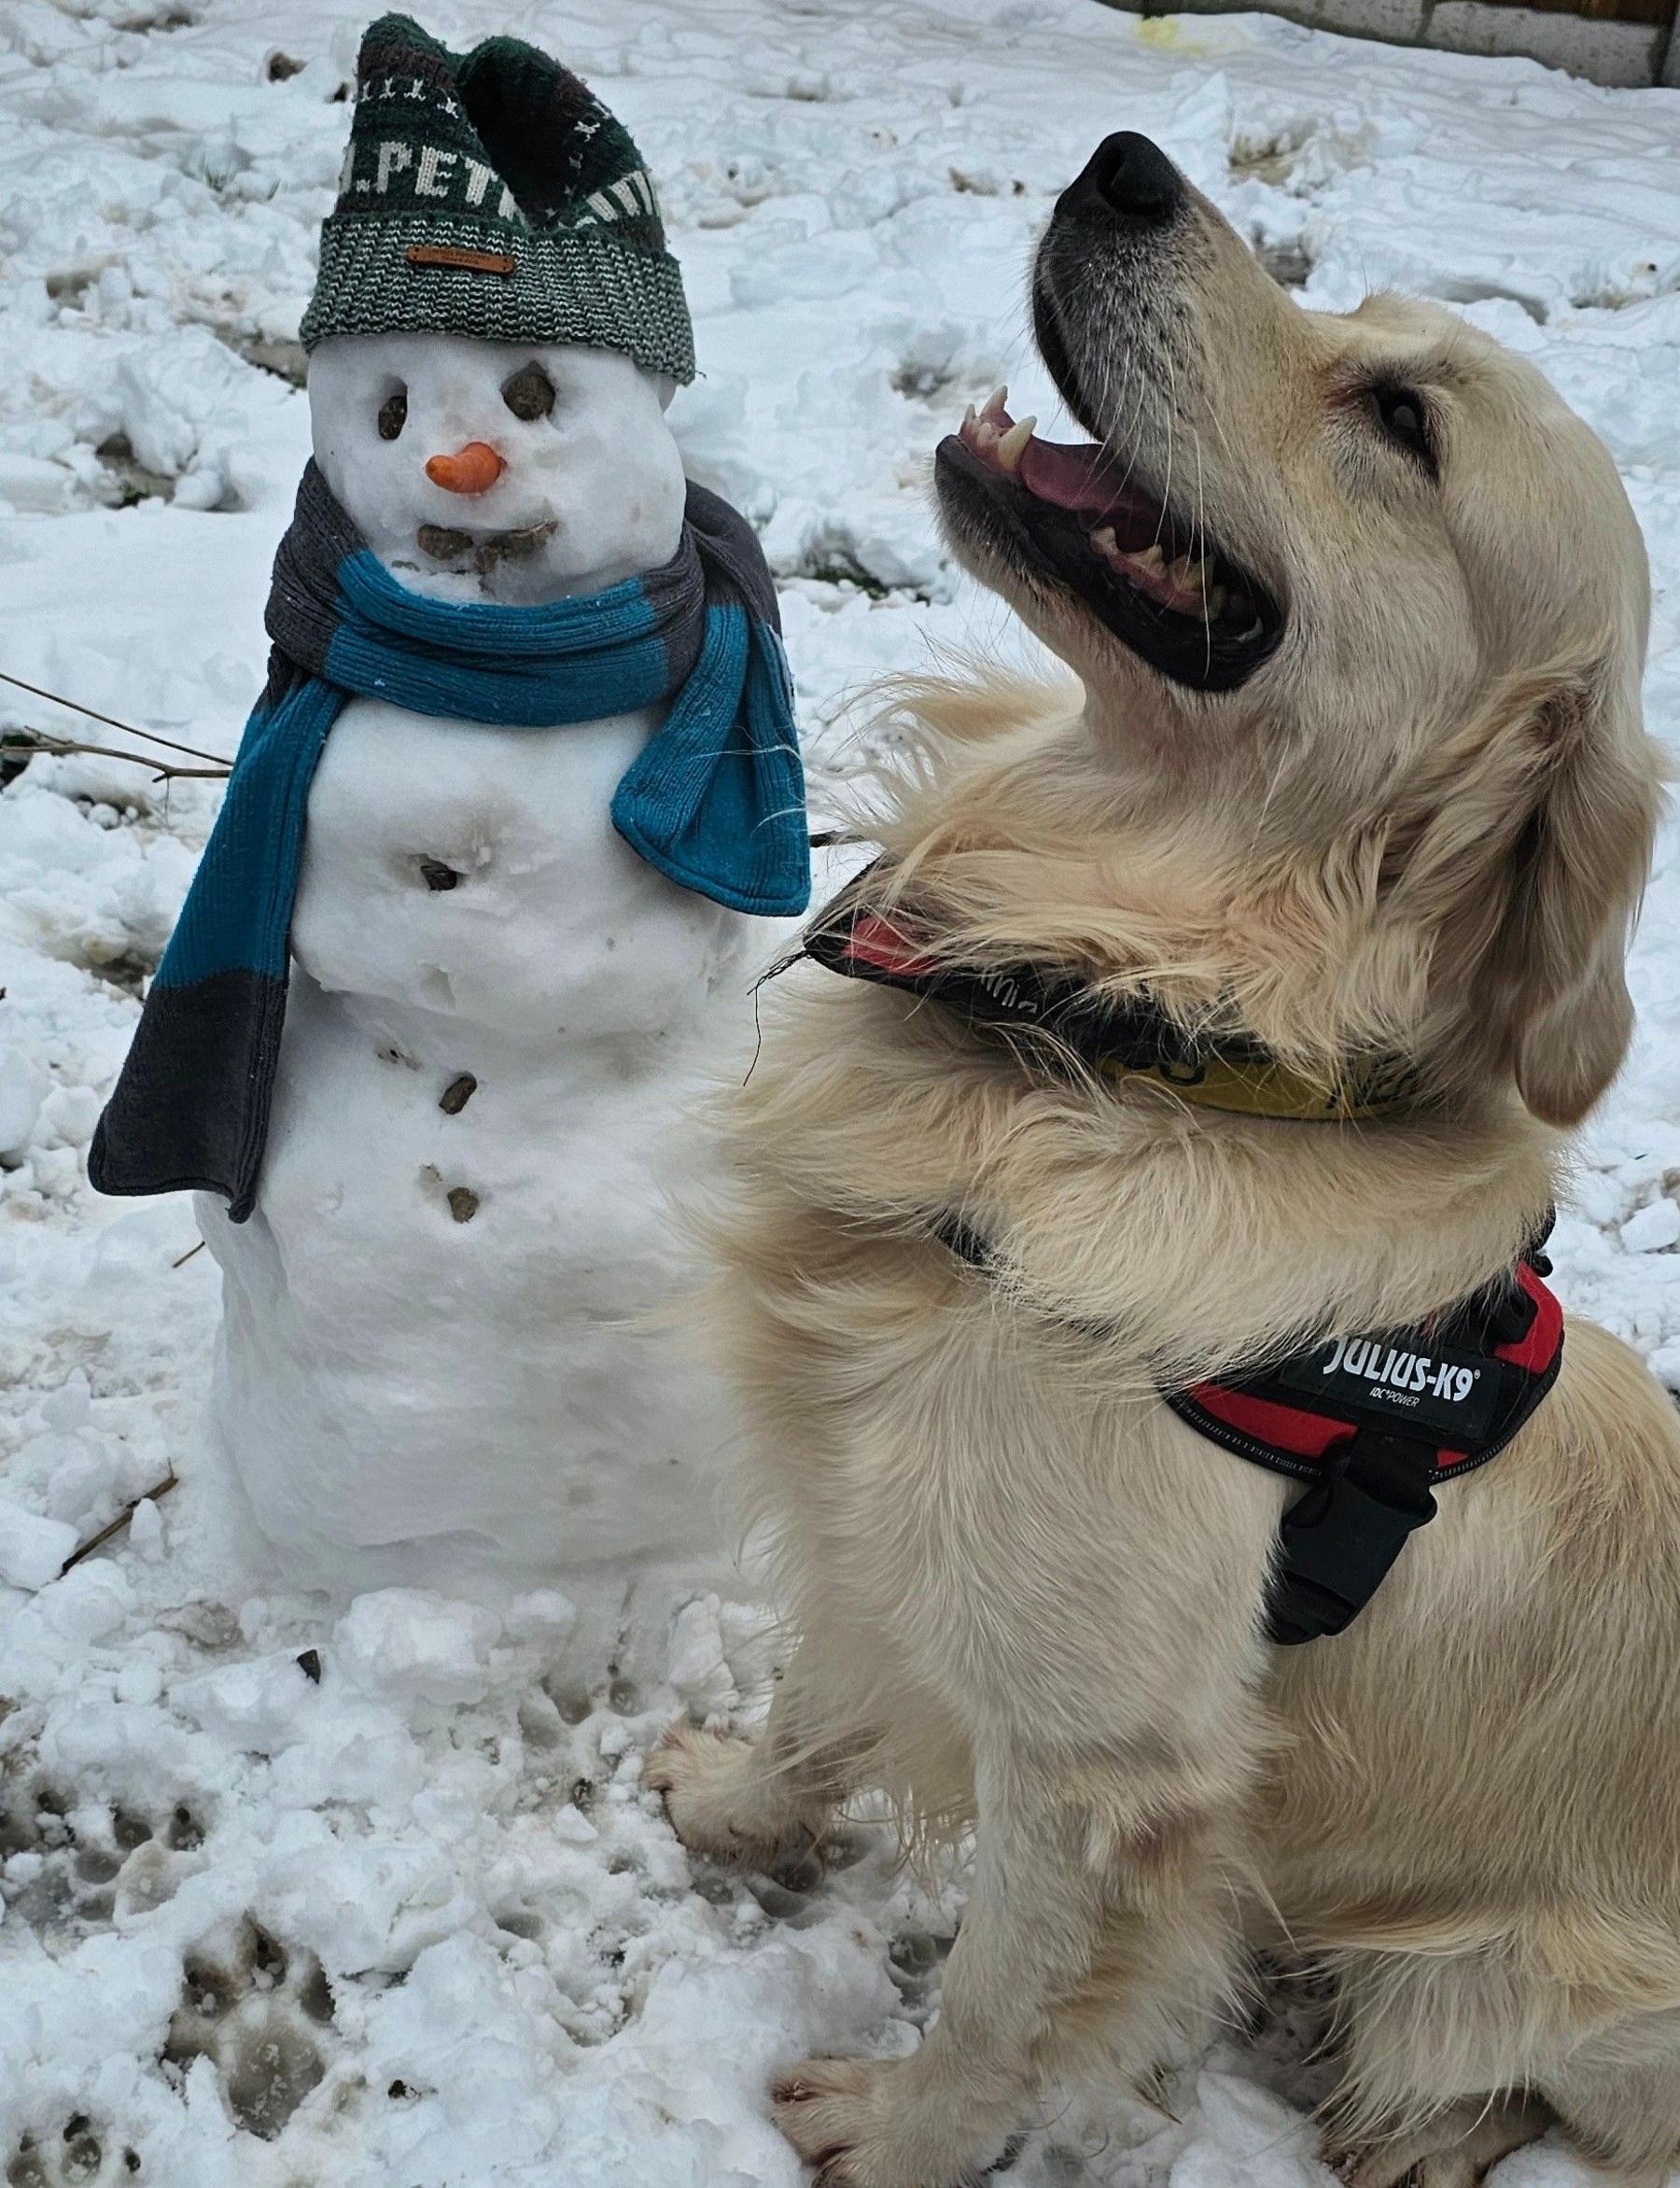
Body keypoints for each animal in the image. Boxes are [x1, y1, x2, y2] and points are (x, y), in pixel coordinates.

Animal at [647, 136, 1671, 2188]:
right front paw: (736, 1801)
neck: (1140, 1032)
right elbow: (814, 1693)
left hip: (1541, 1983)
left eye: (1402, 419)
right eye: (1363, 327)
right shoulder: (883, 1505)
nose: (1121, 166)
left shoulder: (1100, 1757)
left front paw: (895, 2130)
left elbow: (1001, 1989)